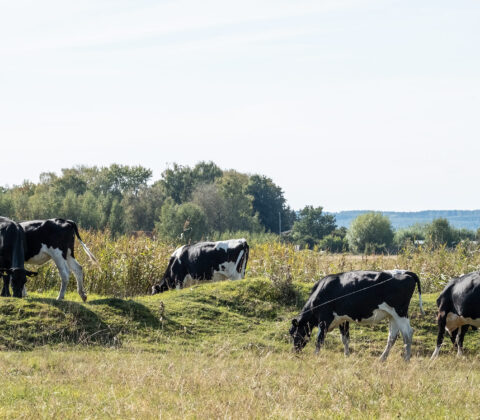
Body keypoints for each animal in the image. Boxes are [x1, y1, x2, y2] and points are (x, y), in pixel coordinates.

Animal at [288, 272, 424, 360]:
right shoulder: (342, 319)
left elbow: (319, 340)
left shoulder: (324, 319)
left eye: (294, 334)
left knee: (407, 334)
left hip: (400, 312)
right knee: (392, 337)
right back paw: (382, 358)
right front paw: (346, 355)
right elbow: (345, 338)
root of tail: (405, 273)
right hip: (392, 315)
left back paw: (406, 359)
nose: (295, 351)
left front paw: (315, 355)